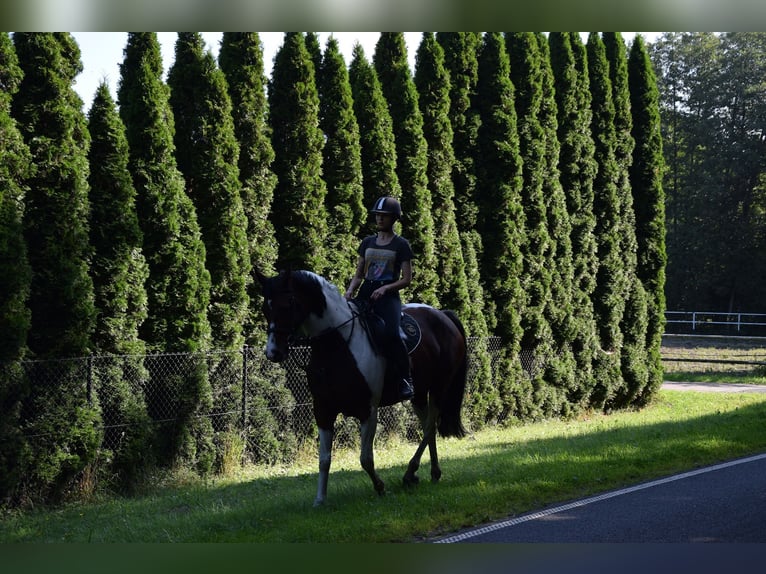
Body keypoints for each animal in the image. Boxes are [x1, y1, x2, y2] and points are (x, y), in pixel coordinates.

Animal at [255, 268, 468, 506]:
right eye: (265, 308)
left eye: (287, 304)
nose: (273, 352)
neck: (336, 344)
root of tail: (443, 316)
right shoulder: (323, 410)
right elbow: (324, 459)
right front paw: (320, 499)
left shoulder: (368, 411)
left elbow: (365, 458)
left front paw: (381, 488)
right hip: (419, 393)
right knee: (427, 427)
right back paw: (431, 473)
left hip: (440, 387)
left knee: (431, 426)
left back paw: (410, 473)